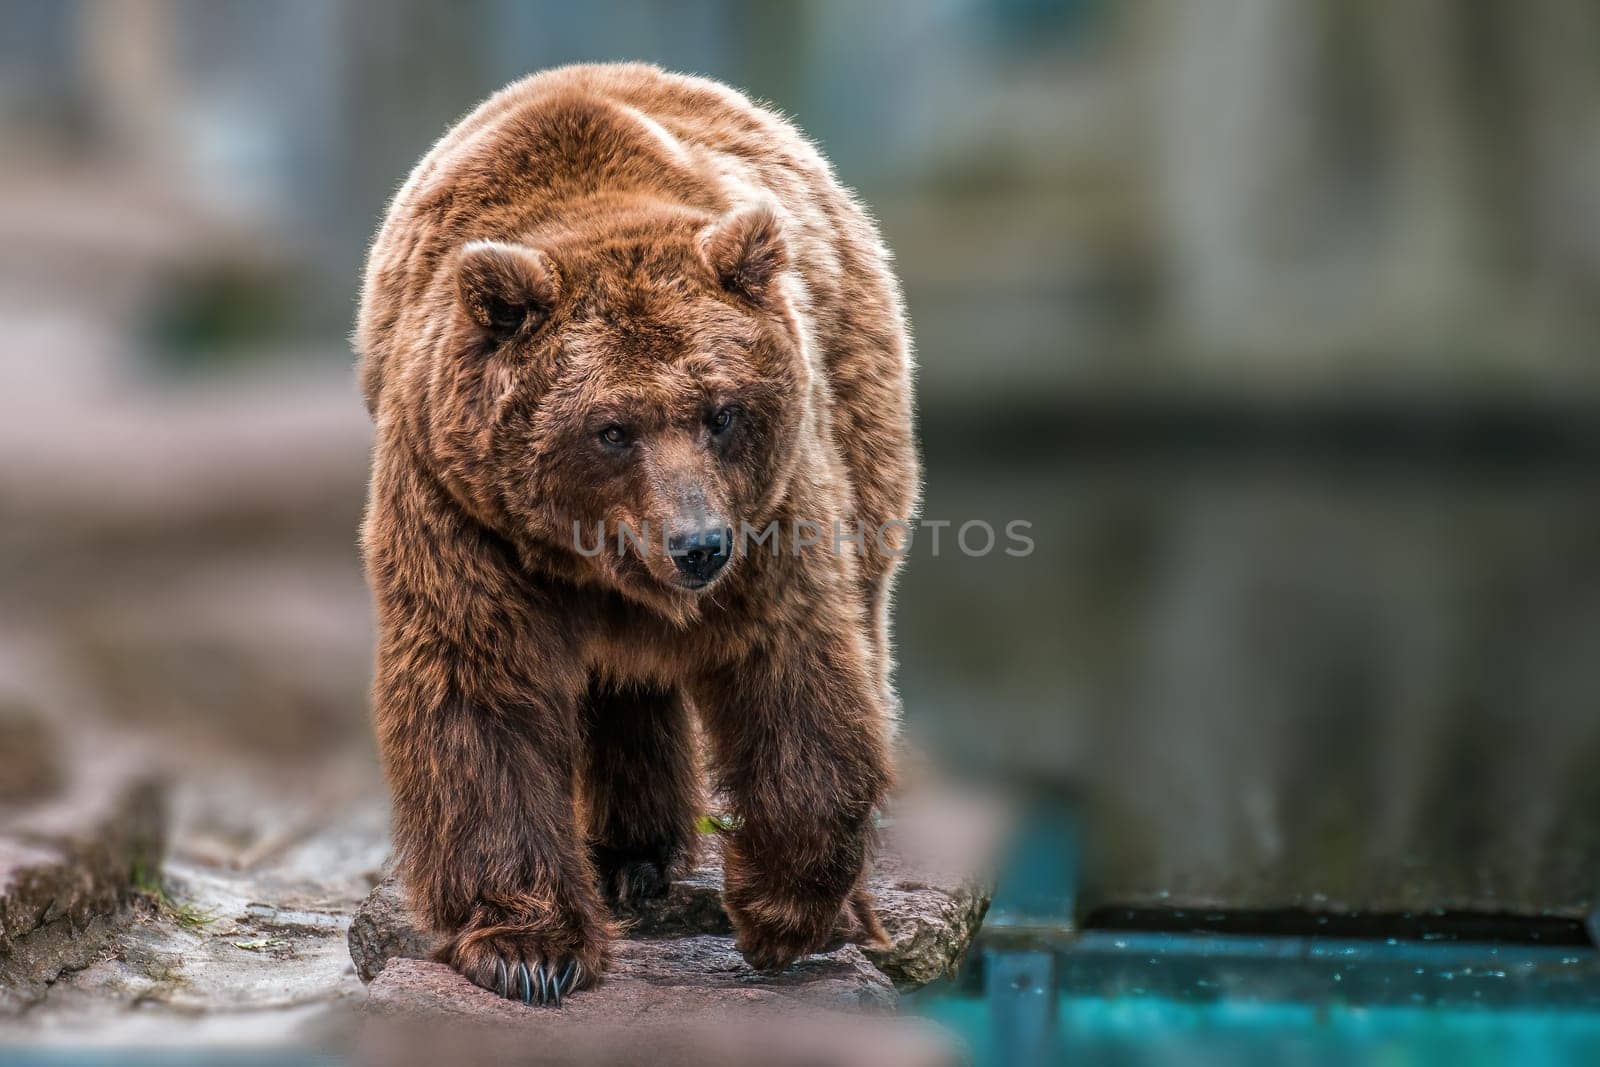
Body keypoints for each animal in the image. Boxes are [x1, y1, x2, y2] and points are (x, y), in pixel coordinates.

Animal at [356, 62, 921, 1004]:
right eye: (611, 427)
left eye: (721, 410)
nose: (698, 546)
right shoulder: (461, 505)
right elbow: (481, 686)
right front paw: (528, 946)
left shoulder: (771, 508)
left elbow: (793, 667)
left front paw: (780, 911)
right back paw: (632, 855)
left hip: (858, 398)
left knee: (865, 622)